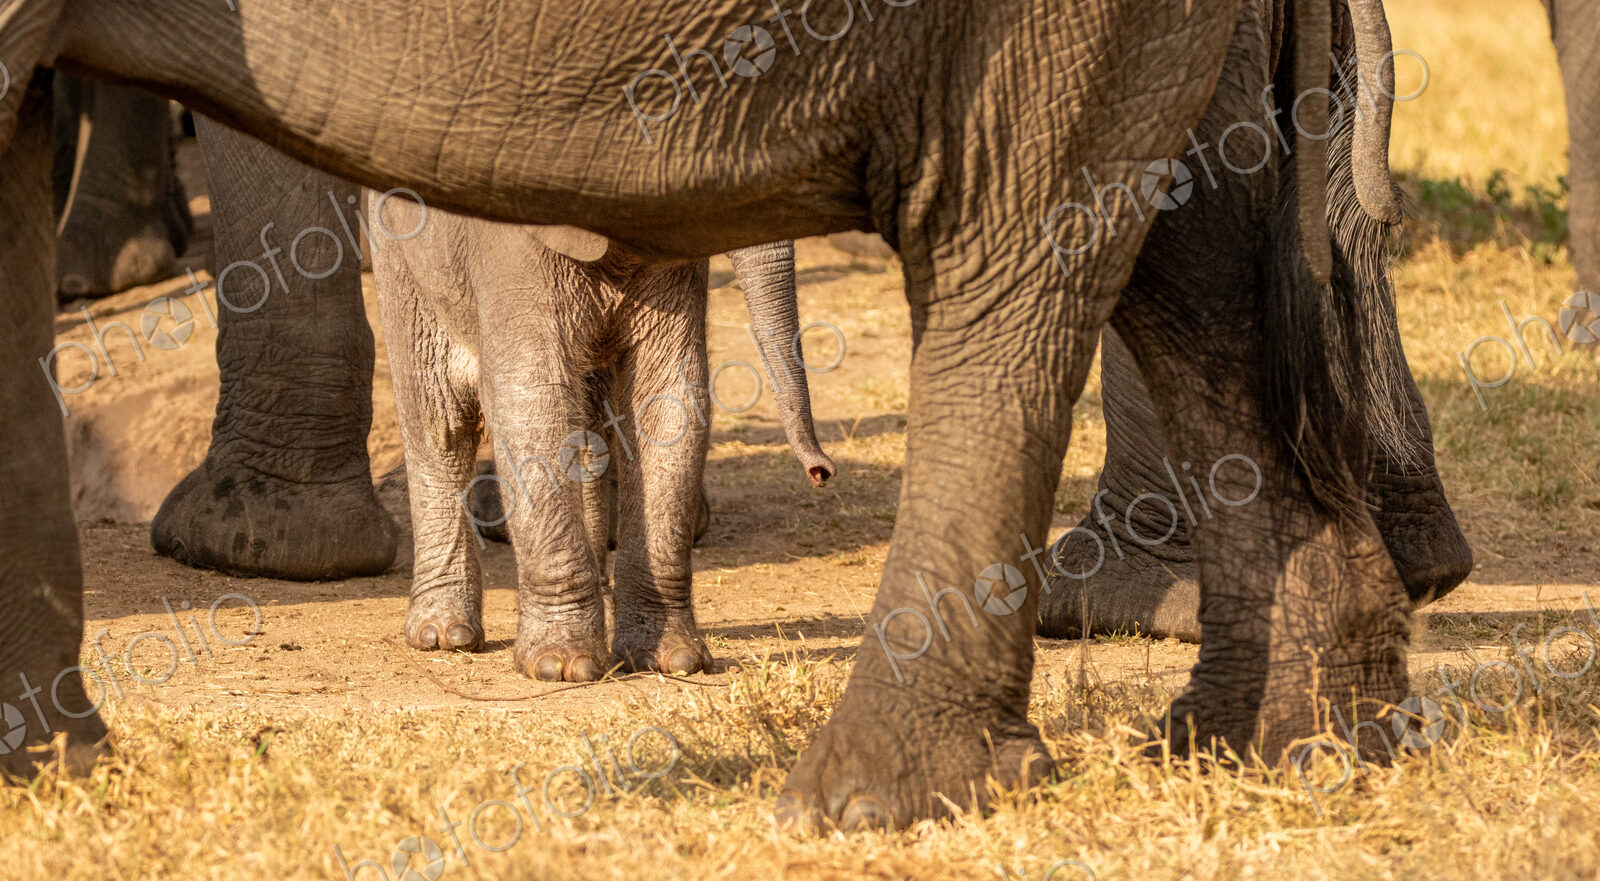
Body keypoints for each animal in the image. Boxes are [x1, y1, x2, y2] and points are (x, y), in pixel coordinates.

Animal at [371, 197, 835, 677]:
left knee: (587, 430)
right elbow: (531, 399)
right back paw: (444, 637)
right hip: (397, 253)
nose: (822, 471)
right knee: (437, 421)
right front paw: (561, 668)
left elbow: (670, 398)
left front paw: (672, 661)